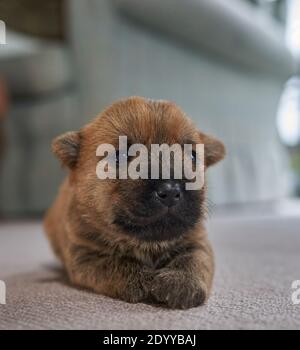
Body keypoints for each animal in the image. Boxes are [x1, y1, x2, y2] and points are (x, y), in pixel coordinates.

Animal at [44, 96, 225, 308]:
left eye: (192, 155)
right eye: (121, 155)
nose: (170, 190)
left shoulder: (197, 241)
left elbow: (193, 260)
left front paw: (181, 283)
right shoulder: (85, 253)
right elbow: (116, 262)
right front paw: (144, 280)